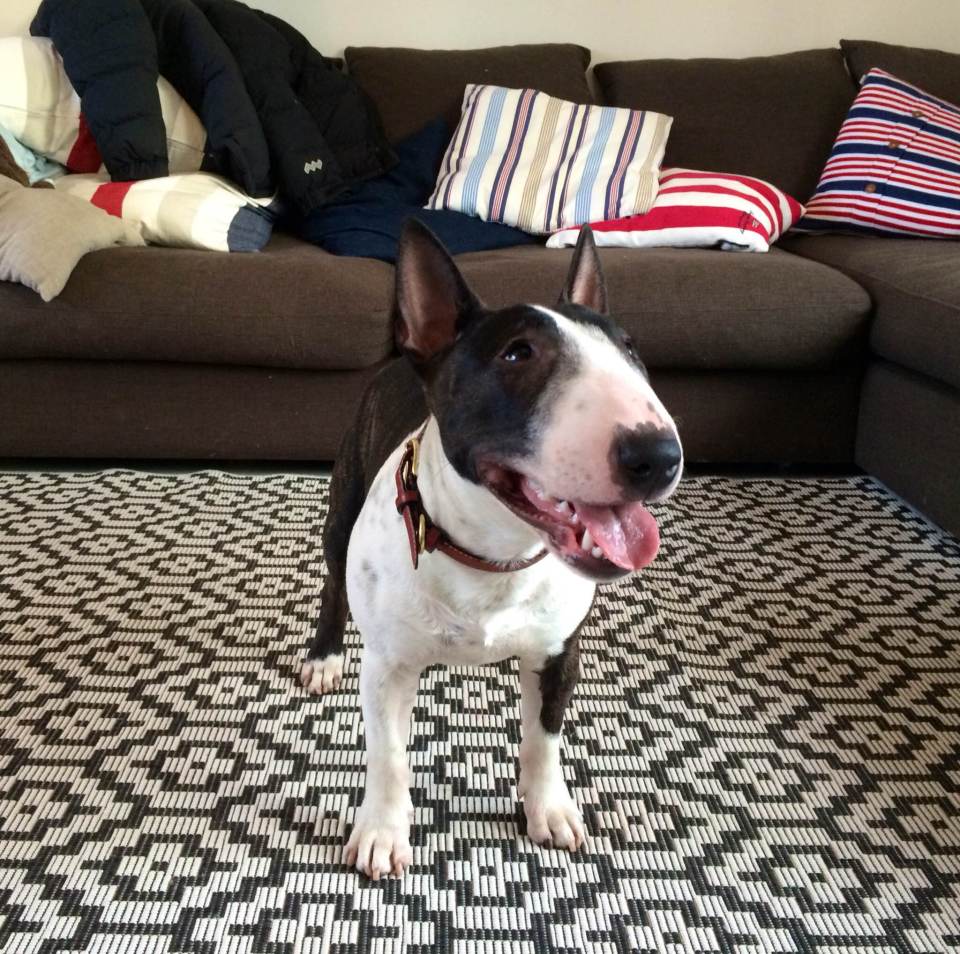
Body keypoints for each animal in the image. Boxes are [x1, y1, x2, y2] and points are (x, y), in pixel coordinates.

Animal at [301, 220, 682, 879]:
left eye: (630, 350)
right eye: (517, 354)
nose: (659, 456)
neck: (495, 554)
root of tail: (403, 359)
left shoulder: (559, 653)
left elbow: (543, 740)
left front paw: (548, 809)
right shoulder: (386, 667)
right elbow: (388, 755)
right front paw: (381, 831)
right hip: (342, 510)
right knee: (331, 583)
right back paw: (324, 656)